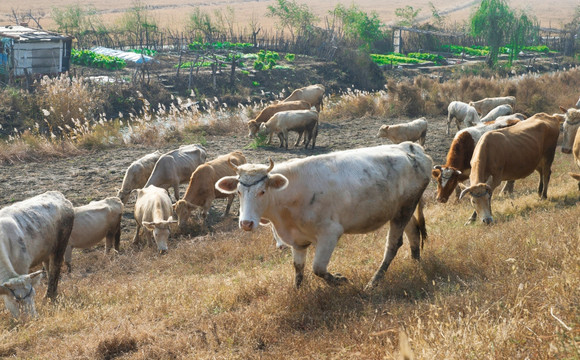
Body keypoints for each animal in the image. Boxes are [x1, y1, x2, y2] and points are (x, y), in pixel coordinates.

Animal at [215, 143, 432, 290]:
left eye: (262, 191)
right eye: (238, 192)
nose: (246, 223)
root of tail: (411, 148)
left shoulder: (330, 232)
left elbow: (318, 268)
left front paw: (339, 280)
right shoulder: (297, 240)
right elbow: (298, 268)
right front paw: (298, 291)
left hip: (405, 208)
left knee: (393, 244)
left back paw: (374, 281)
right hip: (401, 209)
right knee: (413, 232)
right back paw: (416, 263)